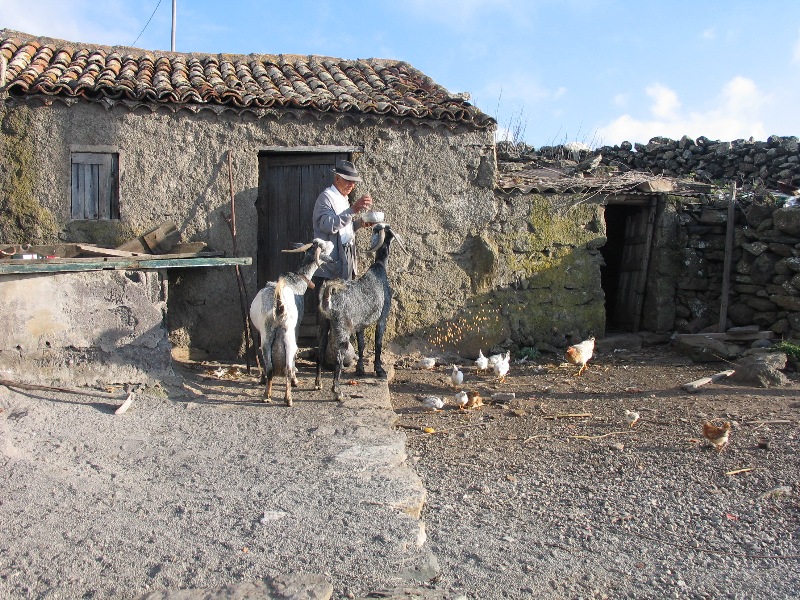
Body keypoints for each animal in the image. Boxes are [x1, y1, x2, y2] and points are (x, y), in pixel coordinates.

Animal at [248, 239, 332, 408]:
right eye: (324, 246)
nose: (332, 242)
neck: (296, 282)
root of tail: (279, 307)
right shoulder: (297, 326)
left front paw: (262, 380)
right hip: (288, 333)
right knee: (288, 363)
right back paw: (289, 393)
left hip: (268, 335)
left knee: (270, 365)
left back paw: (267, 395)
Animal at [316, 223, 406, 400]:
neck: (379, 268)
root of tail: (328, 297)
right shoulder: (383, 316)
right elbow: (378, 342)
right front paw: (379, 369)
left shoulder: (360, 324)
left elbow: (362, 344)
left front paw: (360, 369)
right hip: (342, 329)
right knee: (338, 357)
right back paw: (337, 391)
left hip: (324, 324)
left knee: (321, 351)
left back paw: (318, 383)